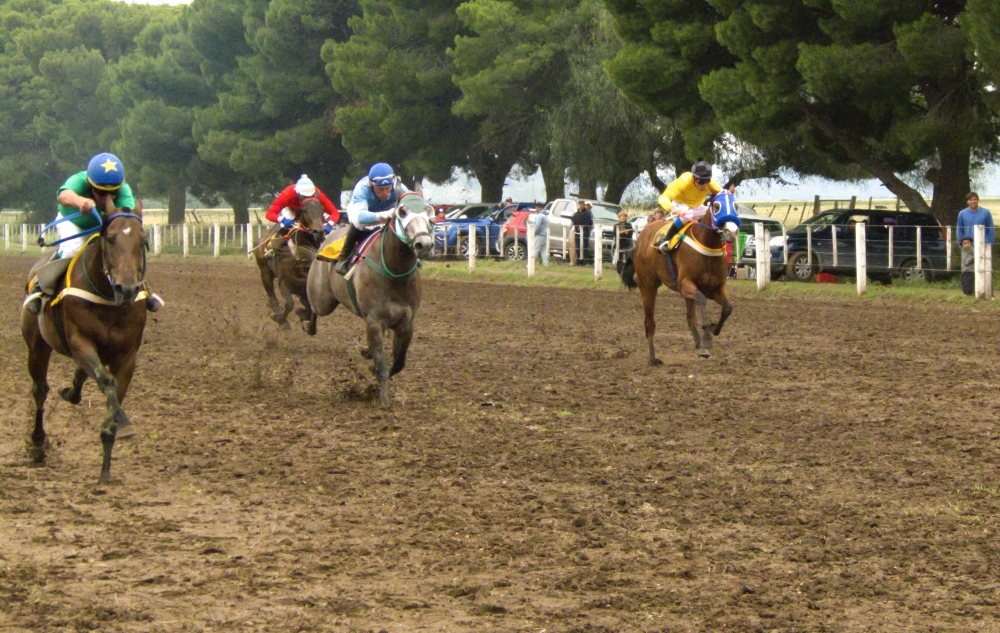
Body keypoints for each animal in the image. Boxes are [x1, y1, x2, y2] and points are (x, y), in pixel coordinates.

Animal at [20, 200, 150, 482]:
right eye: (110, 238)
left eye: (143, 240)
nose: (127, 289)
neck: (109, 298)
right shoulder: (79, 342)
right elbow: (106, 381)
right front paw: (123, 423)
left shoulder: (127, 356)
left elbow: (114, 387)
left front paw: (106, 467)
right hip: (36, 345)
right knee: (40, 390)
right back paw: (38, 443)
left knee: (80, 375)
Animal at [252, 198, 326, 336]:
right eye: (305, 211)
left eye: (322, 210)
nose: (319, 232)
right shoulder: (284, 282)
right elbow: (290, 304)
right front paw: (280, 320)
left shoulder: (306, 290)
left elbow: (310, 310)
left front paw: (306, 322)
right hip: (264, 271)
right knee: (272, 296)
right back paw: (276, 311)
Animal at [304, 190, 430, 404]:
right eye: (402, 212)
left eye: (429, 212)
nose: (424, 244)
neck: (395, 272)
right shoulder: (374, 321)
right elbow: (382, 366)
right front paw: (384, 400)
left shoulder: (406, 322)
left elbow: (399, 362)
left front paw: (370, 361)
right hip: (323, 299)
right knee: (313, 307)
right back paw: (308, 325)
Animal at [616, 190, 744, 360]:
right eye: (717, 206)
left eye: (736, 206)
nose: (732, 231)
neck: (706, 244)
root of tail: (641, 237)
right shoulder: (685, 284)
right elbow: (702, 300)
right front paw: (707, 336)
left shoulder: (714, 287)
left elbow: (727, 308)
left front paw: (713, 329)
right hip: (648, 285)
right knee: (649, 322)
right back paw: (653, 358)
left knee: (689, 318)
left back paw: (699, 346)